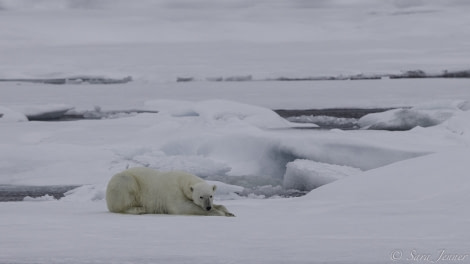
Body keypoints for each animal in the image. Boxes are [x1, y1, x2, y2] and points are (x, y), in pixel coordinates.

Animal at [106, 167, 235, 217]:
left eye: (211, 196)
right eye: (201, 197)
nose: (208, 207)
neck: (181, 180)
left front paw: (229, 212)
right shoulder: (173, 192)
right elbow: (183, 207)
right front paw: (219, 213)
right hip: (124, 183)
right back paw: (139, 209)